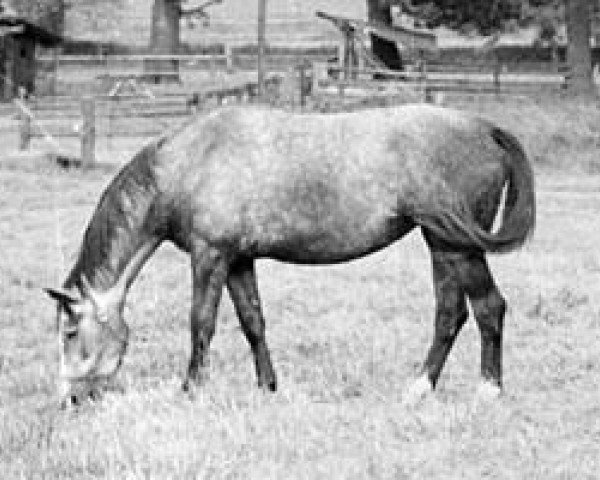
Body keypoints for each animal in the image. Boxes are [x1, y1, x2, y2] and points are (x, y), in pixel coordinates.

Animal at [45, 104, 536, 404]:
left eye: (70, 333)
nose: (71, 399)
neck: (189, 163)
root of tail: (484, 127)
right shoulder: (238, 261)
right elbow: (253, 322)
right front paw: (267, 386)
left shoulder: (210, 257)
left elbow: (201, 322)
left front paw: (190, 388)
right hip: (441, 245)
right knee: (451, 313)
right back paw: (419, 388)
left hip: (458, 246)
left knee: (488, 307)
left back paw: (488, 390)